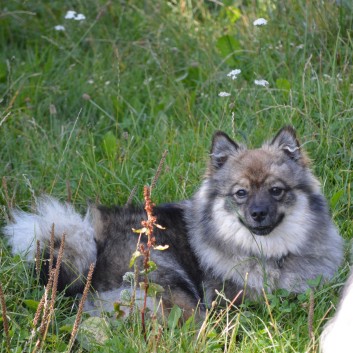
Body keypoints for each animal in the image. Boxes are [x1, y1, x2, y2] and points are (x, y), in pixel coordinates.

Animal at [2, 126, 344, 316]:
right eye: (241, 193)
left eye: (276, 191)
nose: (258, 213)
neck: (267, 254)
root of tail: (92, 254)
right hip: (166, 274)